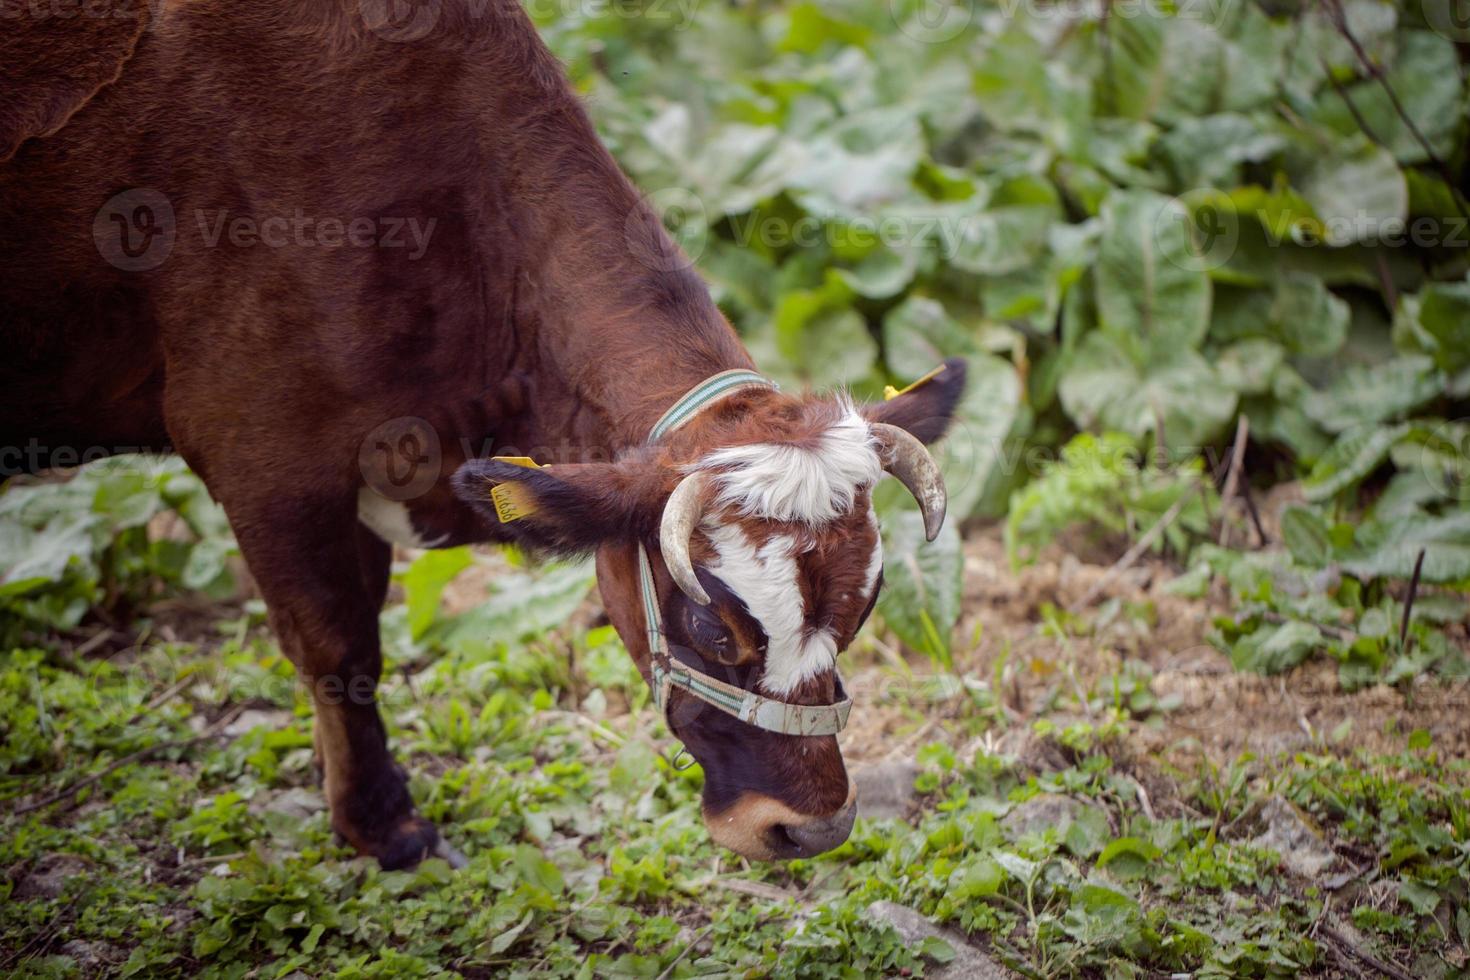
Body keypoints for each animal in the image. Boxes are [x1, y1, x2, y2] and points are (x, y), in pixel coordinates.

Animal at [2, 0, 964, 863]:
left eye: (863, 607)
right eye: (710, 628)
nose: (812, 828)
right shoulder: (264, 457)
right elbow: (339, 645)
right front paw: (384, 827)